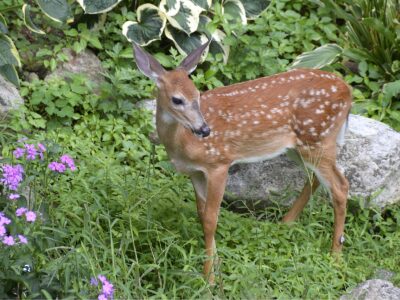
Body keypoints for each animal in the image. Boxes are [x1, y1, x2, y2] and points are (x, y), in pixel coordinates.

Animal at [134, 42, 350, 284]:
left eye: (197, 94)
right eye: (177, 99)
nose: (204, 130)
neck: (183, 143)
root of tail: (348, 90)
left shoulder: (219, 163)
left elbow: (211, 219)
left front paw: (209, 279)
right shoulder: (195, 172)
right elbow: (202, 214)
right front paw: (216, 265)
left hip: (318, 138)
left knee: (340, 186)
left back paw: (335, 256)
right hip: (299, 145)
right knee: (315, 178)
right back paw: (285, 223)